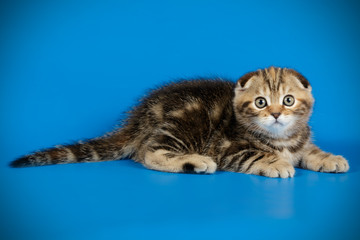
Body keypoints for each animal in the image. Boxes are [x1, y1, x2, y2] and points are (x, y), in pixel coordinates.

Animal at [10, 66, 348, 177]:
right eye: (260, 102)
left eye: (288, 100)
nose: (276, 114)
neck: (283, 138)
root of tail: (142, 114)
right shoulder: (229, 147)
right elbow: (254, 154)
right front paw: (276, 163)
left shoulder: (301, 141)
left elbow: (311, 151)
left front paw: (330, 158)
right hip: (187, 121)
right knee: (149, 153)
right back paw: (195, 162)